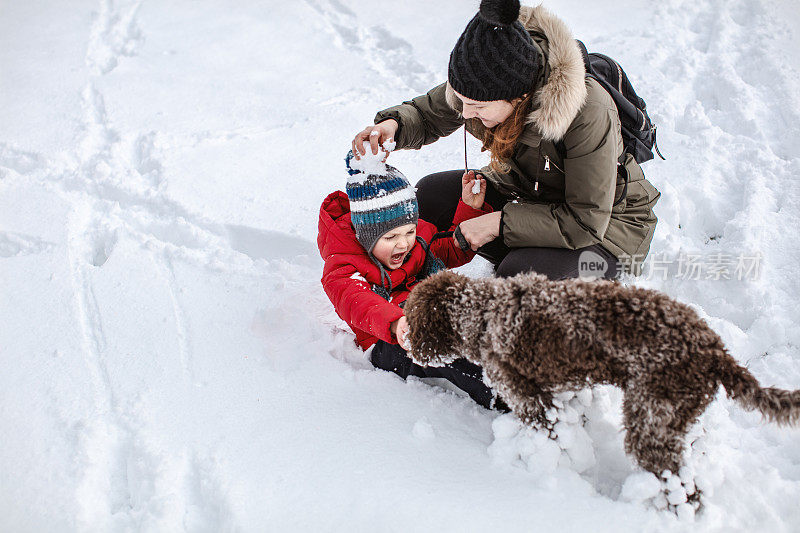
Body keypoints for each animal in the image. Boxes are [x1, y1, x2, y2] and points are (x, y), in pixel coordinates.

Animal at [406, 272, 800, 480]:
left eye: (411, 319)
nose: (406, 344)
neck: (484, 313)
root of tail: (715, 350)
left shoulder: (529, 398)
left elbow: (546, 431)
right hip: (679, 414)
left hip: (651, 419)